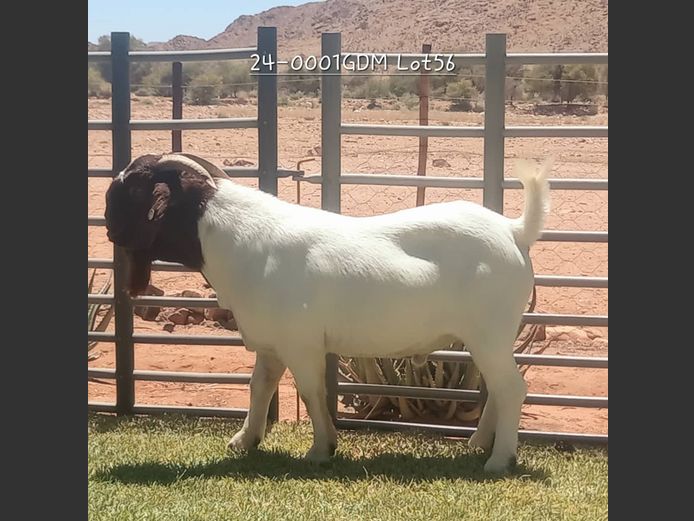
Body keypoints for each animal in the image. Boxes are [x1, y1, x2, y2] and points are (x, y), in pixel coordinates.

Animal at [104, 152, 550, 473]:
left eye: (130, 190)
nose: (106, 225)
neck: (236, 239)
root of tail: (514, 230)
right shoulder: (272, 344)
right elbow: (259, 388)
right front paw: (244, 441)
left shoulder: (300, 344)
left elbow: (311, 392)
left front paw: (321, 449)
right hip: (489, 338)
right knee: (497, 389)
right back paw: (478, 445)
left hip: (489, 332)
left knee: (512, 388)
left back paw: (498, 461)